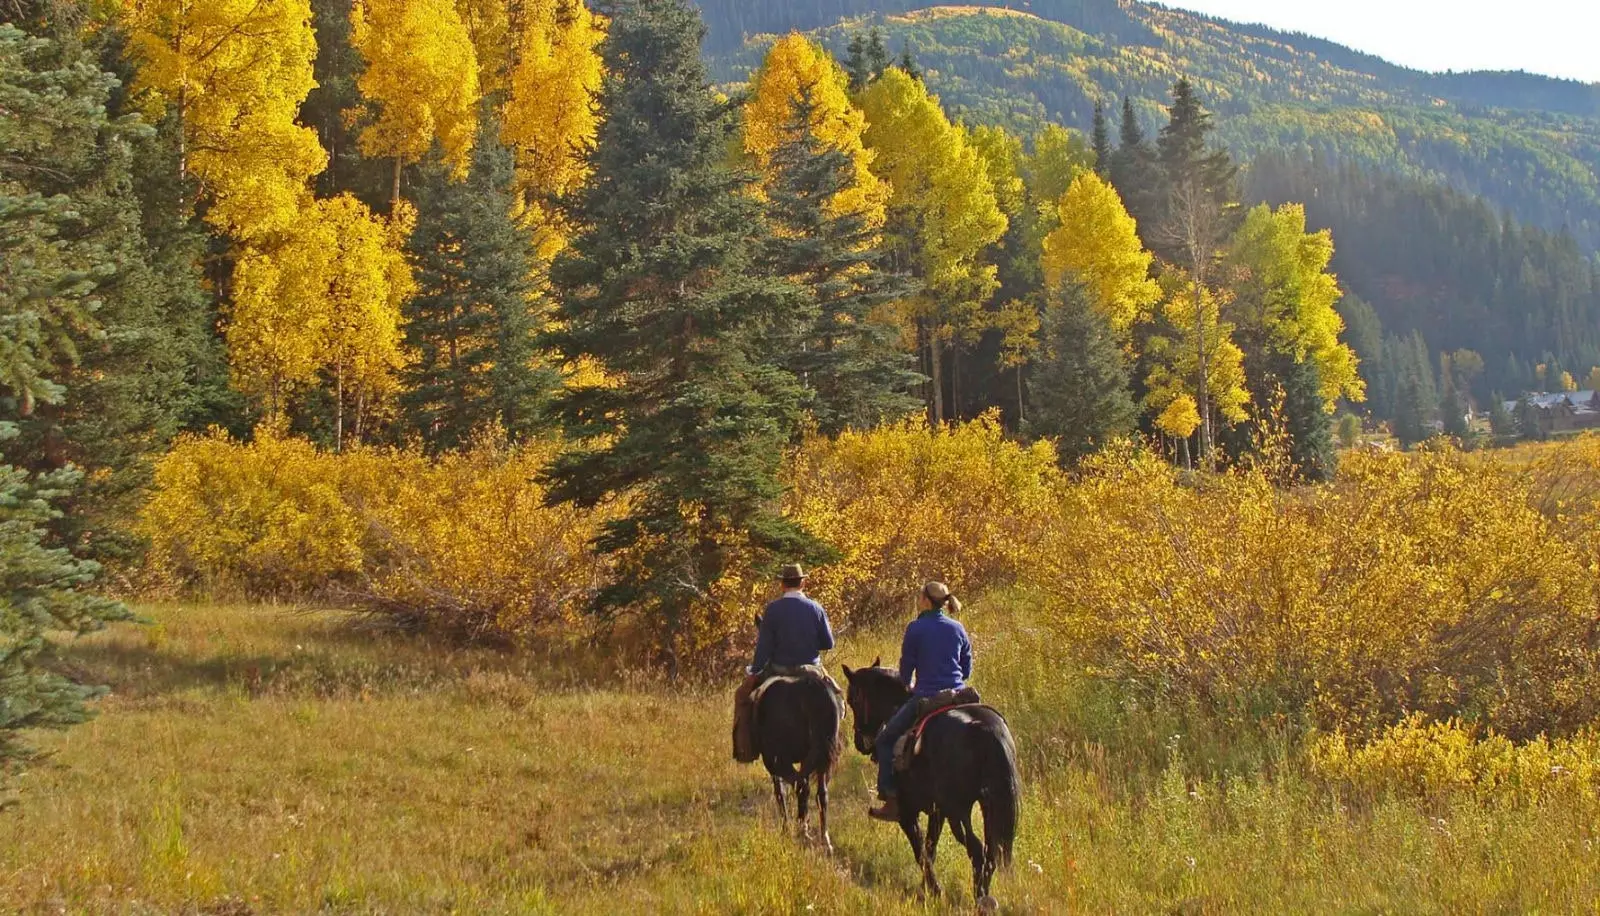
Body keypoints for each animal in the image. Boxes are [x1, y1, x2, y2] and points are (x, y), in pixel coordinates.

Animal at [752, 669, 844, 845]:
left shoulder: (774, 762)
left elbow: (780, 793)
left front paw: (786, 830)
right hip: (821, 760)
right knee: (821, 794)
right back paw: (823, 838)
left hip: (779, 760)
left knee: (800, 786)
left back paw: (803, 831)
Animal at [844, 659, 1017, 903]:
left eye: (853, 700)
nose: (860, 742)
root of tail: (985, 730)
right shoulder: (937, 812)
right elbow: (930, 848)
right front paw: (926, 887)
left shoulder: (907, 812)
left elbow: (920, 850)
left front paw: (934, 890)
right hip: (986, 806)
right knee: (991, 853)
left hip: (959, 812)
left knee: (977, 852)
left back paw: (980, 899)